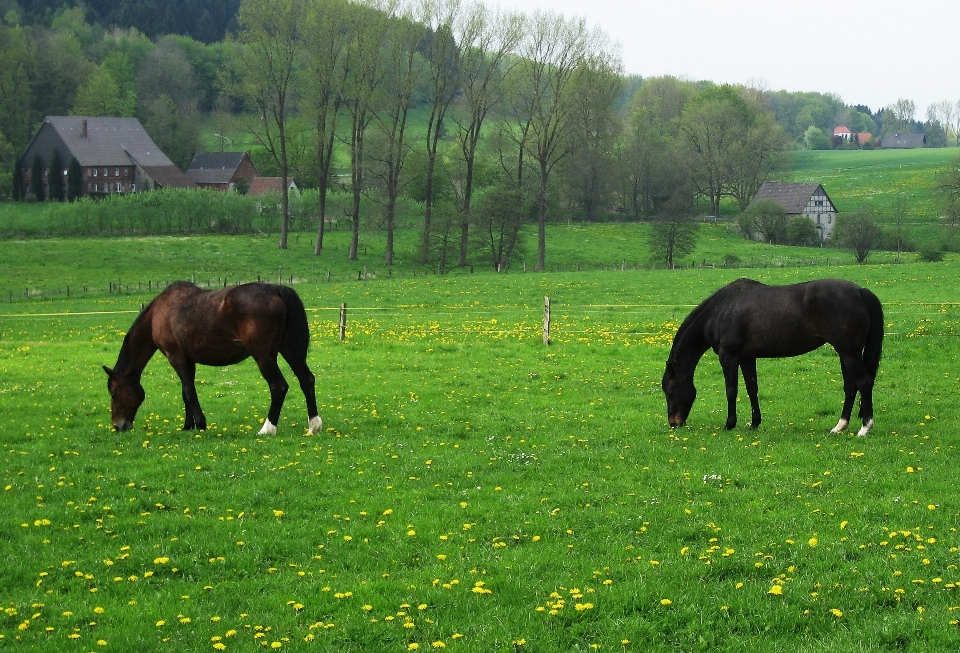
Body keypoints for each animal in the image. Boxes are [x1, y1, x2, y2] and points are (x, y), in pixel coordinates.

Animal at [104, 278, 322, 432]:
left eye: (114, 393)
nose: (118, 426)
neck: (159, 313)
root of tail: (276, 289)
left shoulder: (176, 357)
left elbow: (189, 391)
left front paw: (200, 424)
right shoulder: (188, 360)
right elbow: (186, 392)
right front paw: (188, 425)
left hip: (263, 356)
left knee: (279, 386)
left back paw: (267, 428)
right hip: (290, 352)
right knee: (307, 380)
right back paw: (314, 425)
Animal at [664, 278, 880, 436]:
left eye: (671, 390)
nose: (674, 423)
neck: (722, 310)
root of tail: (860, 291)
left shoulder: (729, 357)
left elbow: (731, 391)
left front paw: (729, 424)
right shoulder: (747, 358)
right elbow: (752, 389)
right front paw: (754, 423)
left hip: (849, 353)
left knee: (864, 382)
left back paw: (865, 427)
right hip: (845, 354)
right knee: (850, 387)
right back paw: (840, 426)